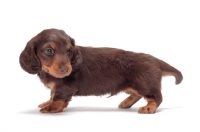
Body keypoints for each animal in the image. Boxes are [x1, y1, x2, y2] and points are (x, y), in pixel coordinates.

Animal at [19, 28, 183, 113]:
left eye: (69, 51)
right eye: (49, 51)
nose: (66, 70)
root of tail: (155, 60)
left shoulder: (65, 87)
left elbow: (58, 97)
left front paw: (52, 107)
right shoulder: (56, 87)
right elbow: (52, 94)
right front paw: (47, 102)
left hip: (144, 84)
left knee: (156, 97)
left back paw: (149, 107)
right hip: (134, 85)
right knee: (137, 95)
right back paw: (126, 102)